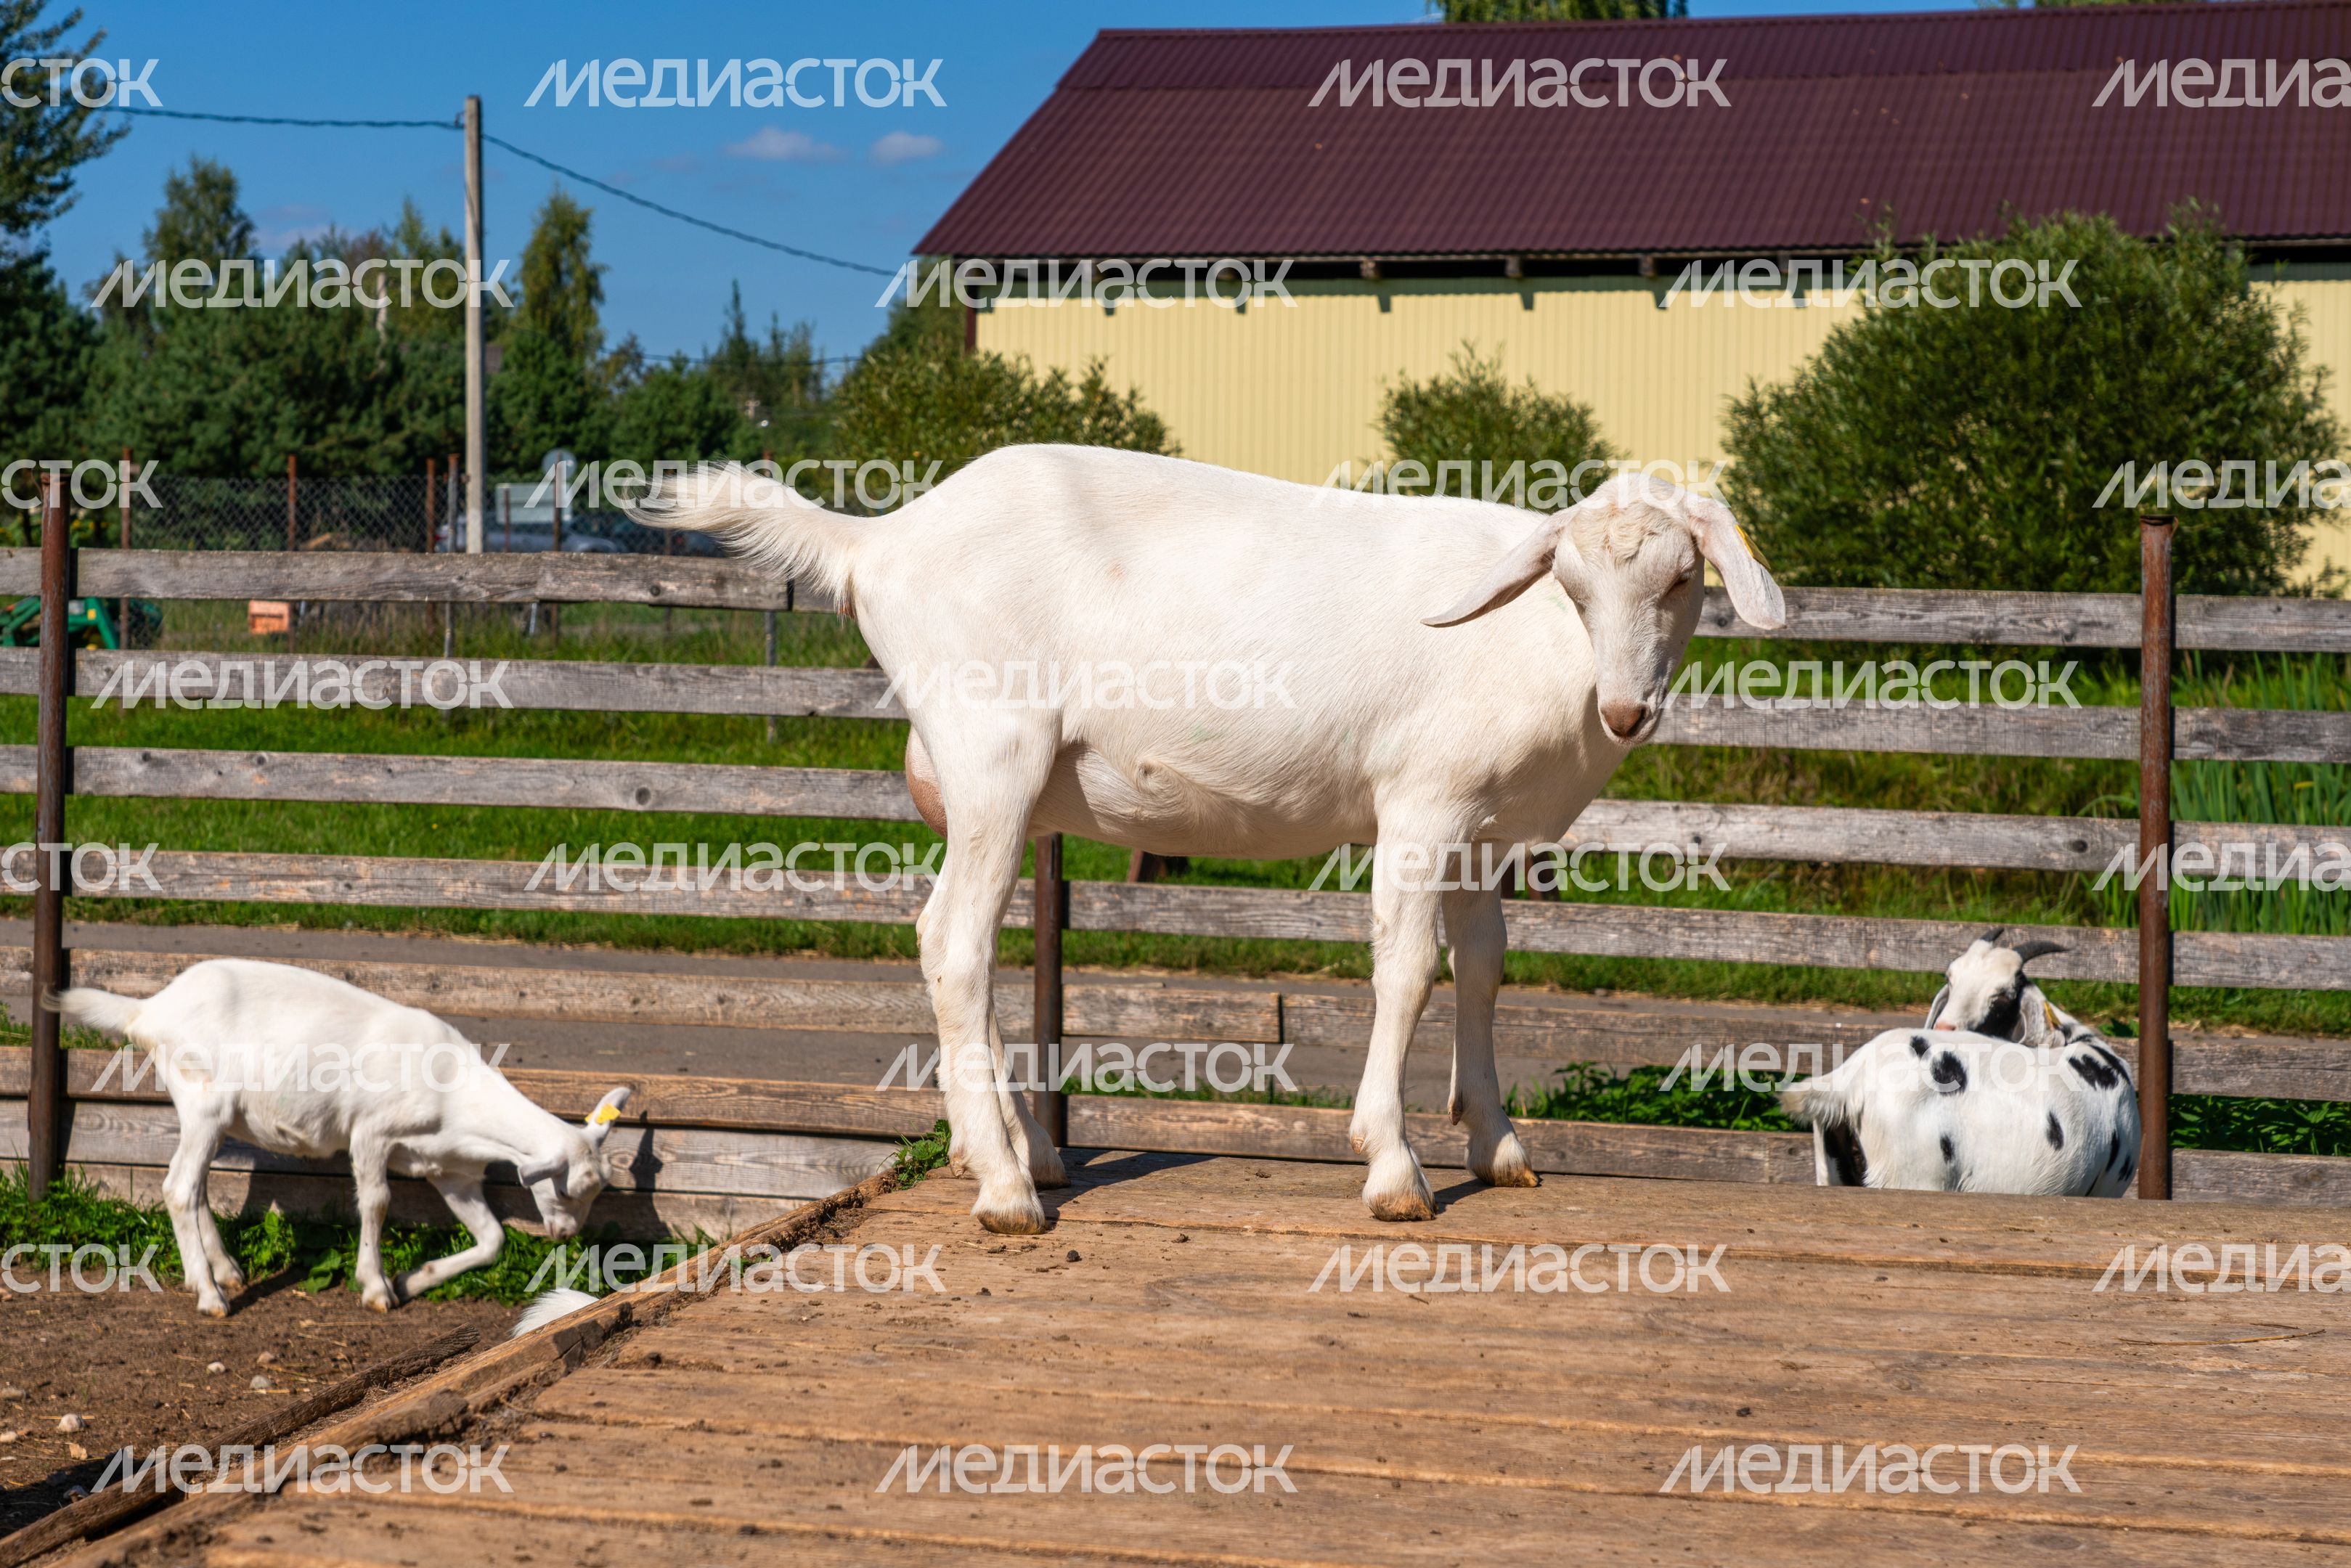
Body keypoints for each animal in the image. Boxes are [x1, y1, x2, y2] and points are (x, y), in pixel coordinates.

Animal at [50, 959, 630, 1315]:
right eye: (567, 1189)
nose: (566, 1235)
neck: (455, 1094)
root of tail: (149, 1009)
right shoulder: (372, 1132)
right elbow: (376, 1202)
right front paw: (377, 1287)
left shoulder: (450, 1169)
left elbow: (492, 1240)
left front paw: (415, 1279)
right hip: (204, 1098)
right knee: (177, 1189)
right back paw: (211, 1296)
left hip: (205, 1115)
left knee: (196, 1188)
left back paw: (224, 1272)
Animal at [635, 448, 1784, 1231]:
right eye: (1574, 586)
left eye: (1681, 580)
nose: (1626, 710)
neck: (1538, 646)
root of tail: (880, 541)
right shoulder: (1421, 804)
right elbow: (1408, 970)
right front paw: (1392, 1166)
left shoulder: (1480, 828)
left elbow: (1485, 971)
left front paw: (1498, 1145)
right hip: (991, 747)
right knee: (951, 942)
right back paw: (1007, 1191)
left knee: (975, 950)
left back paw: (1017, 1153)